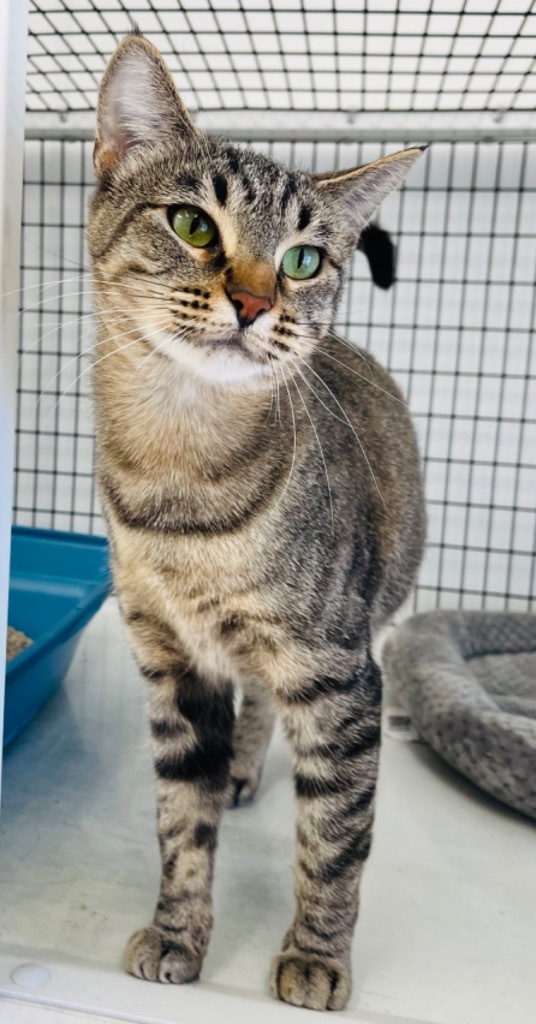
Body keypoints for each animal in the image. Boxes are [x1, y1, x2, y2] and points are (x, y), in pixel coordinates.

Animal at [90, 36, 430, 1011]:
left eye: (306, 261)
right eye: (194, 225)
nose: (252, 302)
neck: (180, 487)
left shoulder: (340, 674)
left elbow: (335, 840)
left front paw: (317, 956)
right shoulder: (172, 663)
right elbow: (180, 821)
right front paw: (178, 933)